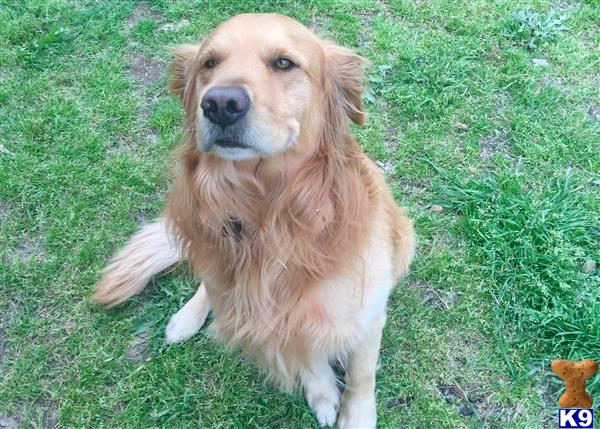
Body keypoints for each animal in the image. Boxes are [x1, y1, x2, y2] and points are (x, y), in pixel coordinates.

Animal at [92, 13, 412, 428]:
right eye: (209, 63)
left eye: (284, 63)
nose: (220, 103)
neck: (267, 216)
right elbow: (306, 355)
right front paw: (323, 393)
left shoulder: (365, 315)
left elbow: (360, 374)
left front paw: (354, 415)